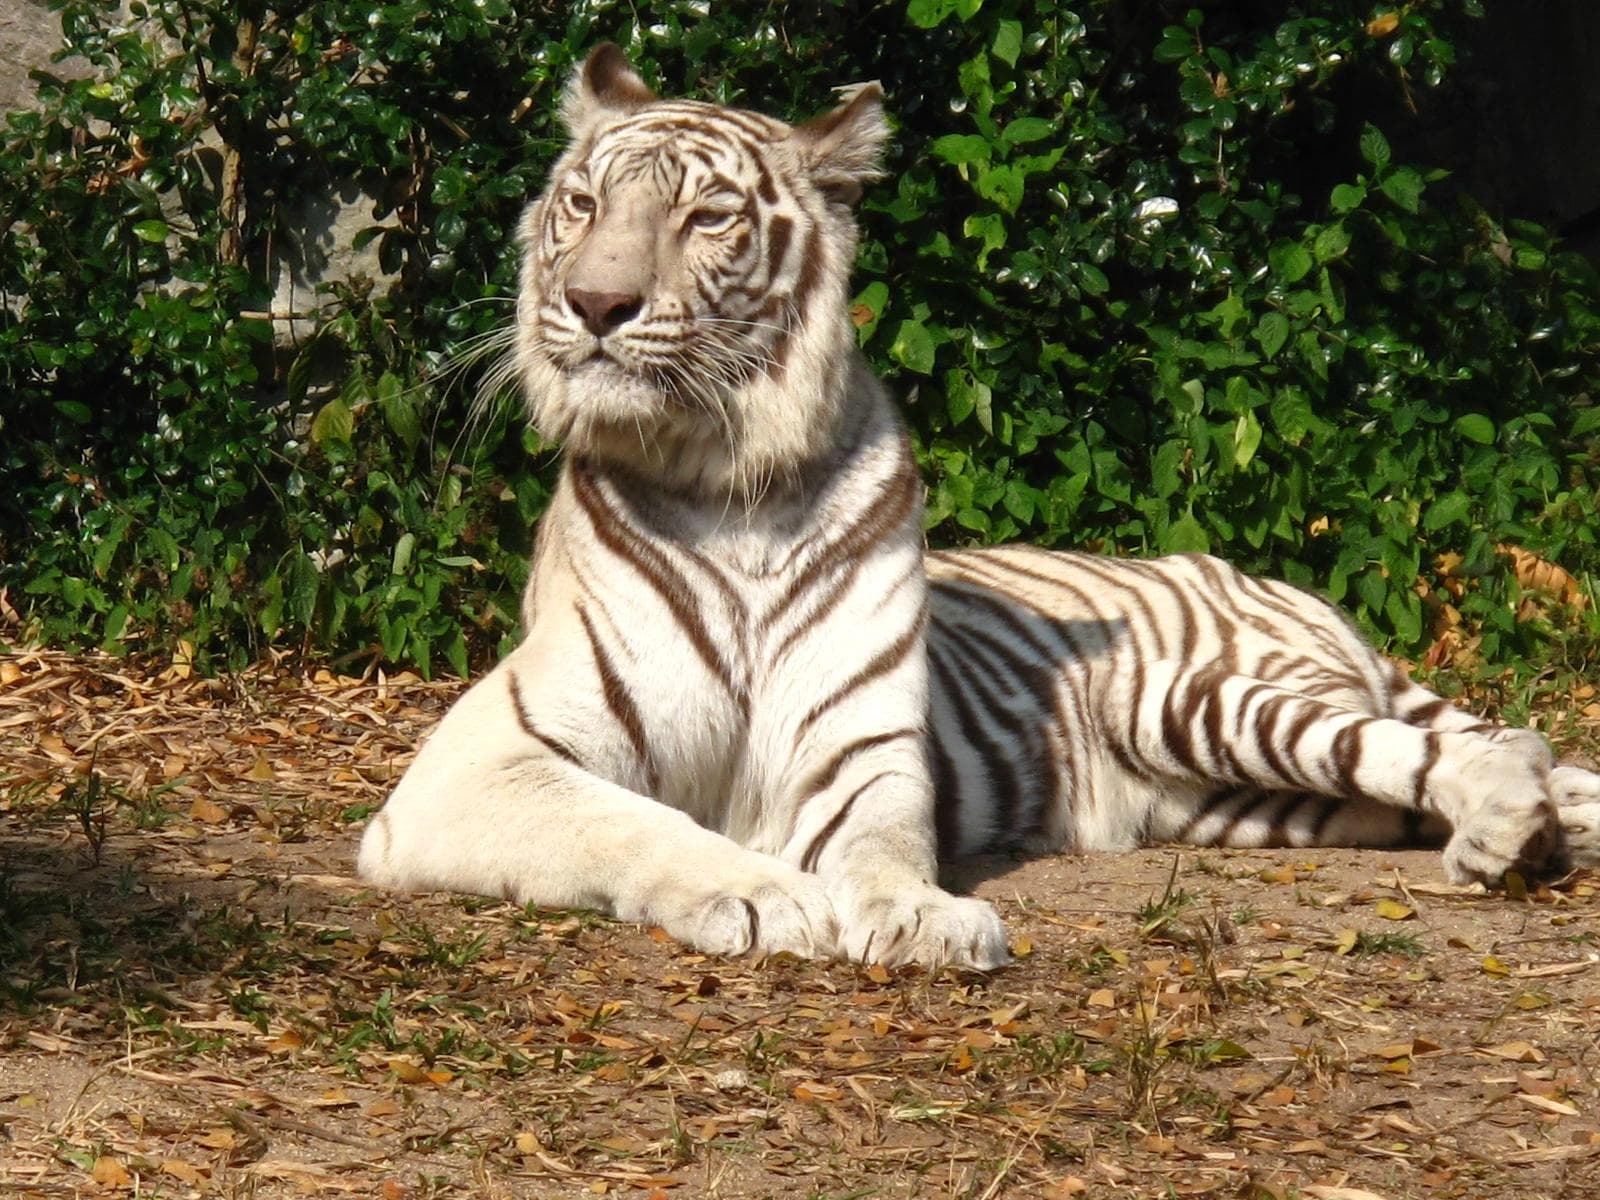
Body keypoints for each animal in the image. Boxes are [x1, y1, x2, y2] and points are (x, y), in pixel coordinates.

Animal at [357, 44, 1600, 970]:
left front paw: (916, 915)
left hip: (1204, 700)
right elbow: (636, 819)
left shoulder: (860, 754)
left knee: (1469, 743)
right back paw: (1533, 834)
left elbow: (879, 846)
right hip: (1250, 798)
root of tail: (1256, 576)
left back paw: (1502, 826)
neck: (728, 484)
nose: (594, 302)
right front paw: (767, 894)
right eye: (580, 203)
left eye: (707, 217)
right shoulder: (482, 761)